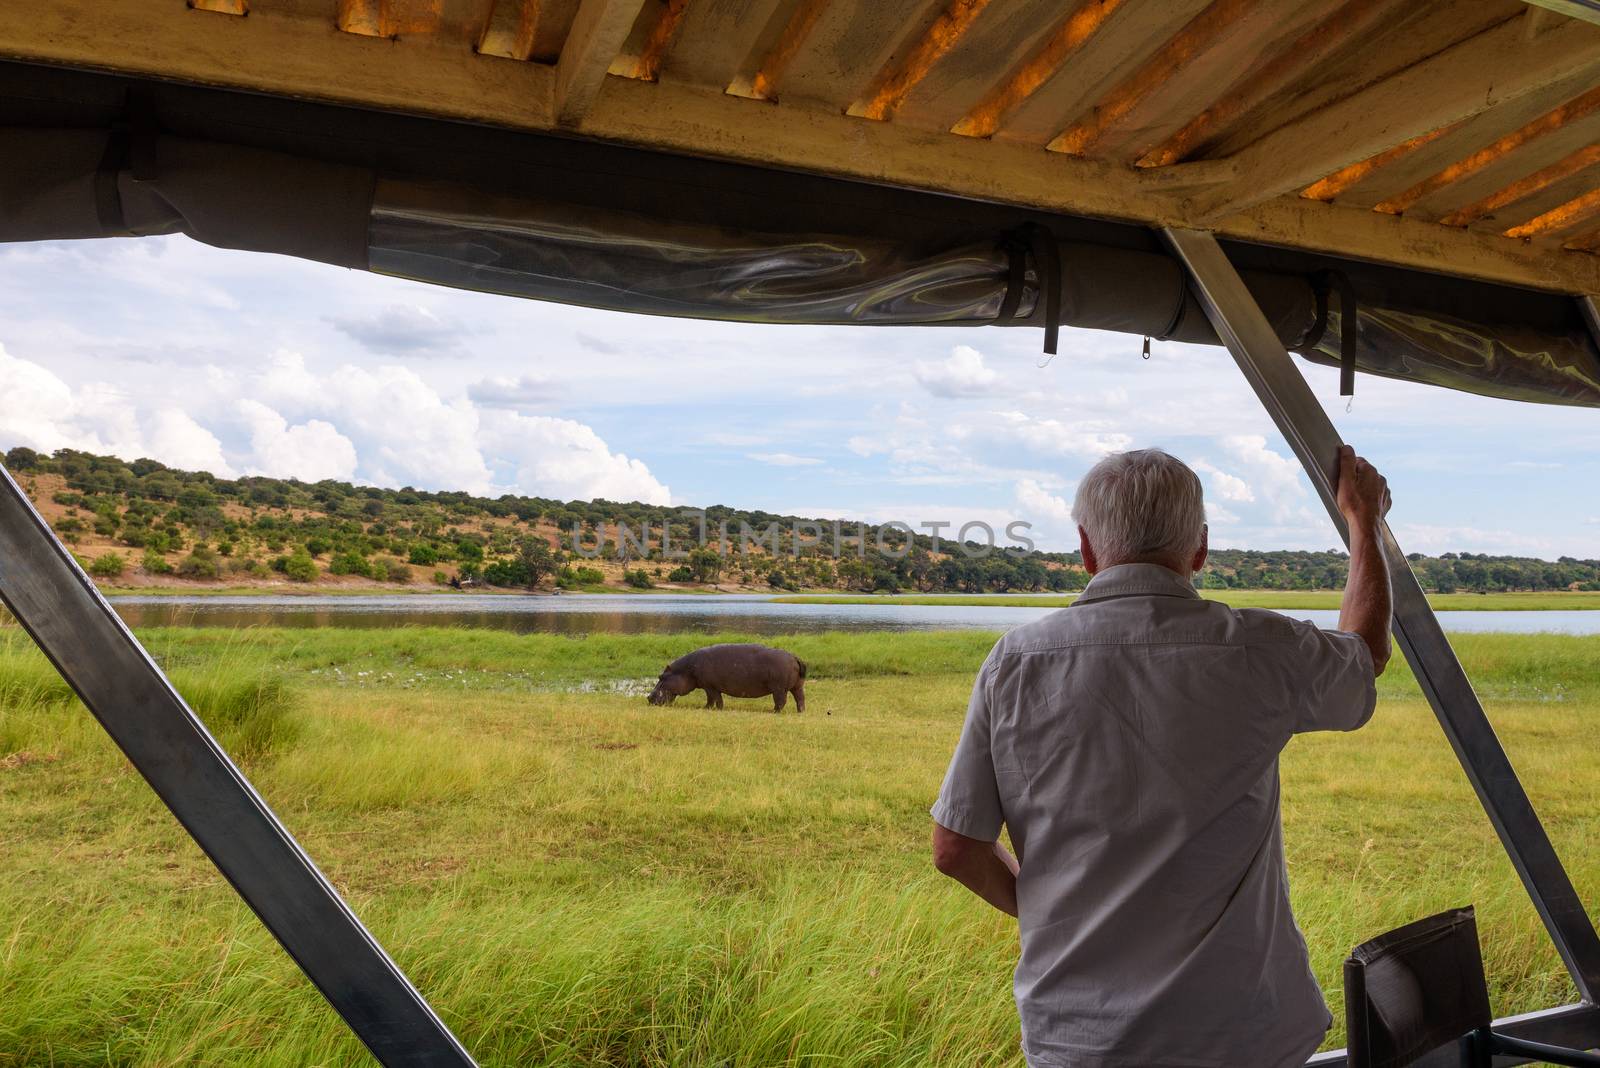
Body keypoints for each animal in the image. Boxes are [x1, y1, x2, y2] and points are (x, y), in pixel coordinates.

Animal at [643, 639, 812, 713]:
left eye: (661, 677)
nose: (649, 697)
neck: (685, 670)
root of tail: (795, 657)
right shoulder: (710, 687)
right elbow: (713, 700)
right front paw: (708, 708)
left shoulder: (710, 687)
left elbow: (714, 699)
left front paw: (710, 709)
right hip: (797, 686)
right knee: (800, 699)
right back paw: (800, 712)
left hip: (779, 689)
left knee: (781, 702)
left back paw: (773, 712)